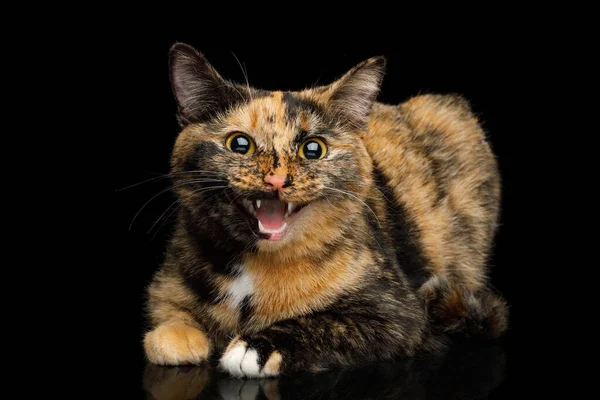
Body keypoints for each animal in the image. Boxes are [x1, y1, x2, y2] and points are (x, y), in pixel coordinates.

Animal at [143, 43, 508, 378]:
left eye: (313, 149)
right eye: (240, 144)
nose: (277, 180)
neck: (257, 267)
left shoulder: (401, 316)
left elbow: (329, 323)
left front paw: (253, 348)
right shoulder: (167, 284)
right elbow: (167, 322)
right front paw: (179, 339)